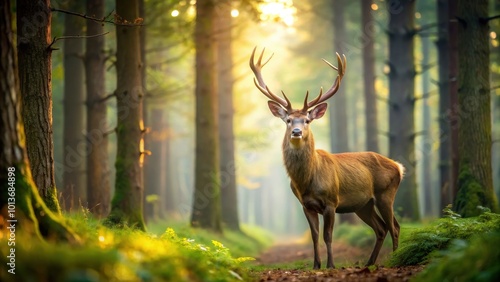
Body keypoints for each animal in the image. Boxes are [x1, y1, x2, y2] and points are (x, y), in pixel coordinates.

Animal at [248, 47, 404, 270]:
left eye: (307, 120)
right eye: (288, 120)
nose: (296, 132)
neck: (307, 181)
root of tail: (399, 167)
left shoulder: (331, 201)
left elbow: (328, 235)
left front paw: (330, 265)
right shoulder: (306, 205)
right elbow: (314, 236)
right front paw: (316, 265)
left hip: (386, 193)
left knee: (395, 227)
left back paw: (393, 260)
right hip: (363, 204)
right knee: (381, 228)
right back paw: (369, 262)